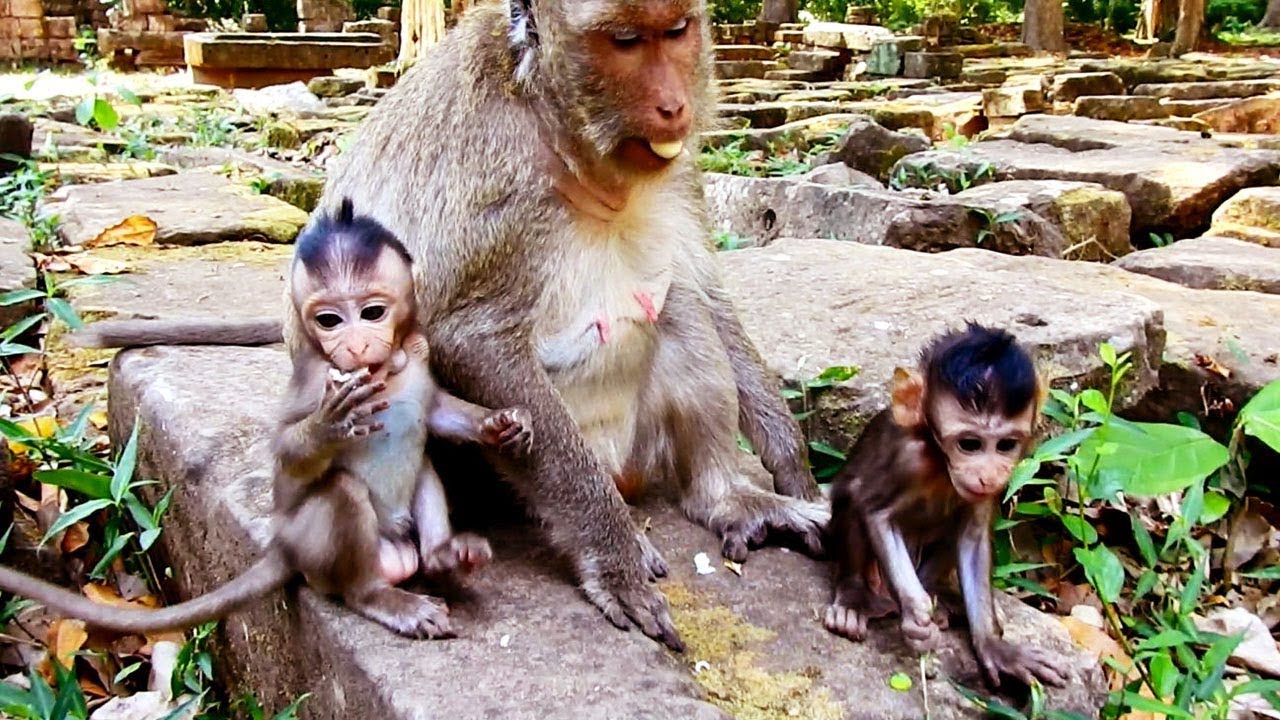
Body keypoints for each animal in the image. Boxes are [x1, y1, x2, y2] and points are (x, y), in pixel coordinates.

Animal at [0, 200, 534, 639]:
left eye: (372, 312)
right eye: (329, 320)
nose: (356, 344)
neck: (388, 370)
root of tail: (285, 546)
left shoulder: (419, 355)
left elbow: (435, 411)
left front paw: (499, 425)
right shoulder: (316, 379)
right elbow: (288, 453)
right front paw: (326, 427)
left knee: (421, 465)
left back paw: (444, 556)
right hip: (320, 550)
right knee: (343, 499)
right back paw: (382, 599)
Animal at [66, 0, 830, 652]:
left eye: (676, 32)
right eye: (624, 42)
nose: (674, 104)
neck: (564, 131)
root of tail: (628, 473)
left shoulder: (679, 168)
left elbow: (706, 289)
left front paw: (793, 467)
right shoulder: (494, 173)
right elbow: (464, 335)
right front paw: (613, 559)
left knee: (678, 307)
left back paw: (728, 499)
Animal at [823, 323, 1068, 689]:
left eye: (1006, 445)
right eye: (969, 444)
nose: (988, 474)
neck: (939, 461)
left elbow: (974, 535)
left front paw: (993, 646)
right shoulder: (908, 459)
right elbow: (875, 512)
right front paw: (915, 615)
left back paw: (941, 594)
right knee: (853, 496)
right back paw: (854, 596)